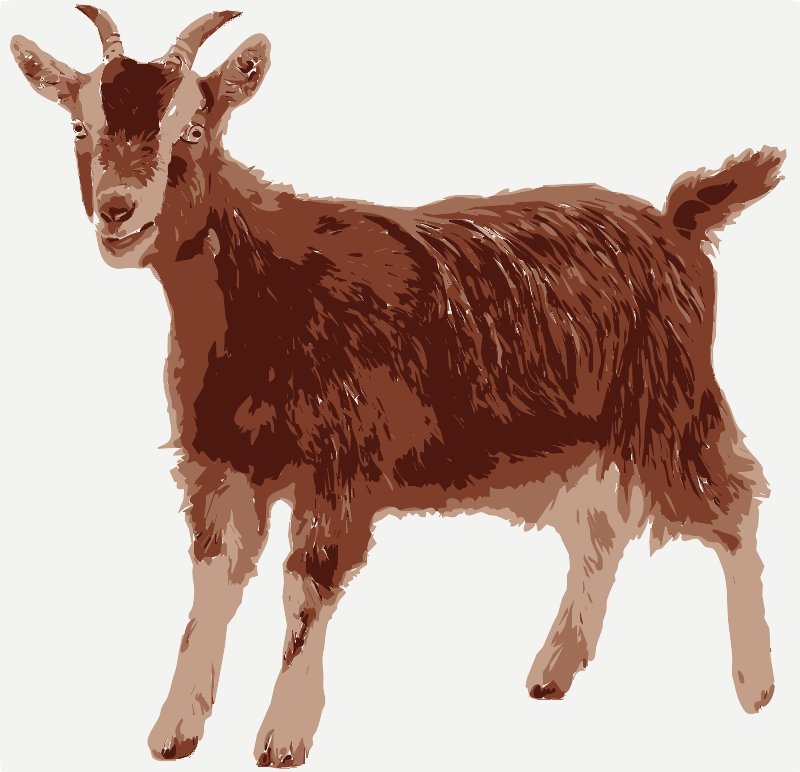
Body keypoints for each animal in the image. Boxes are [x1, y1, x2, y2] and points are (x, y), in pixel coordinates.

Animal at [10, 6, 784, 767]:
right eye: (80, 127)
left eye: (194, 129)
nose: (117, 210)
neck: (263, 290)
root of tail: (677, 223)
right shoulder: (220, 461)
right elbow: (211, 589)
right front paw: (175, 729)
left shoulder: (338, 459)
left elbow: (306, 590)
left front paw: (283, 737)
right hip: (594, 428)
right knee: (600, 528)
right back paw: (554, 669)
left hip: (672, 404)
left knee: (735, 503)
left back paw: (756, 686)